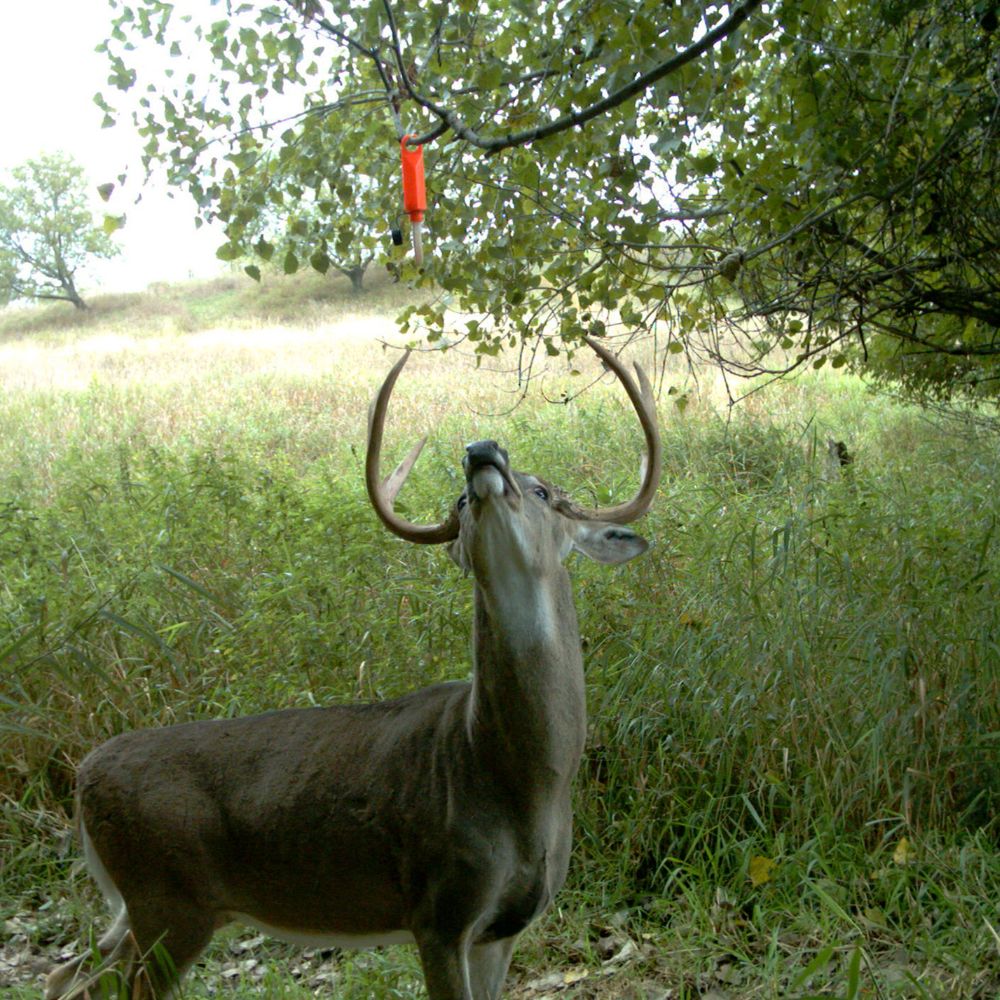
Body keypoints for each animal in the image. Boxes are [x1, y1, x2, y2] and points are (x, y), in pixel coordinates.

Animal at [46, 337, 661, 1000]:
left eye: (544, 491)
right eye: (459, 501)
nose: (479, 452)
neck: (518, 776)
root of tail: (81, 778)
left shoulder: (503, 927)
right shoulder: (438, 909)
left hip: (138, 909)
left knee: (67, 972)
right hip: (166, 897)